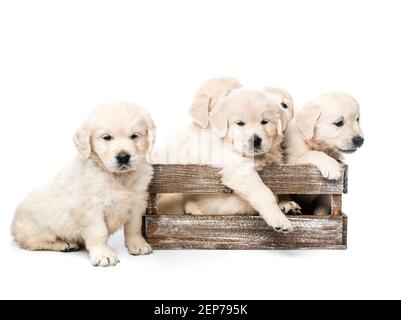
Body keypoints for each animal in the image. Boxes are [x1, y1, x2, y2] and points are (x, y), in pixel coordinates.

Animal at [10, 102, 155, 268]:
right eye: (106, 137)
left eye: (134, 136)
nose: (123, 157)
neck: (119, 178)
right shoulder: (92, 208)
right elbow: (99, 232)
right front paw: (103, 255)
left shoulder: (137, 201)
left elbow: (134, 227)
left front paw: (138, 245)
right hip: (35, 227)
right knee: (33, 243)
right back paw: (64, 244)